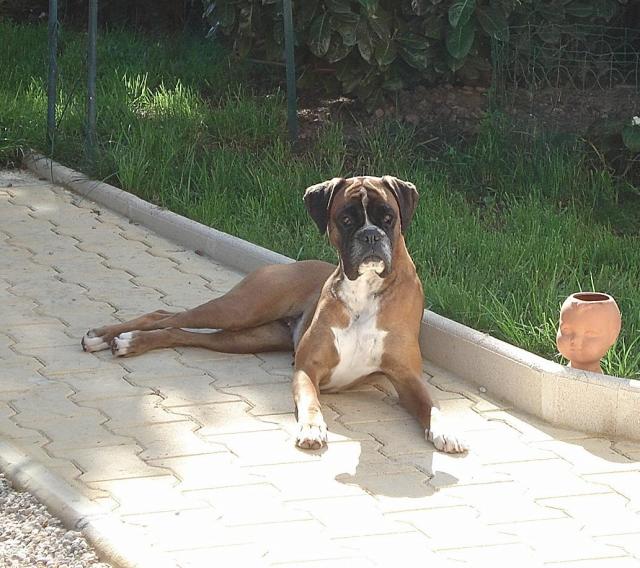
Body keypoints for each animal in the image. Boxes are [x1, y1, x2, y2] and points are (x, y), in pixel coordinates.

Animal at [82, 176, 467, 453]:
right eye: (346, 219)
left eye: (388, 218)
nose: (371, 235)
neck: (365, 292)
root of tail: (288, 264)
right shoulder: (307, 368)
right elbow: (310, 401)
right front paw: (311, 427)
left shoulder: (407, 378)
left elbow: (432, 405)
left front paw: (446, 431)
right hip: (239, 310)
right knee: (165, 315)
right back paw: (110, 336)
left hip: (245, 337)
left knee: (182, 333)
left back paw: (128, 342)